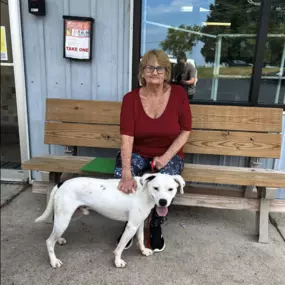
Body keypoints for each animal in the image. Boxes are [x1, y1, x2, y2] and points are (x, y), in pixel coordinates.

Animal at [34, 172, 185, 268]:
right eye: (156, 188)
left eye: (170, 189)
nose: (163, 202)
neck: (145, 192)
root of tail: (62, 182)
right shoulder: (131, 226)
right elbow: (120, 247)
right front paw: (117, 261)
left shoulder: (139, 223)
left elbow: (141, 238)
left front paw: (143, 251)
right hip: (65, 218)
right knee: (49, 241)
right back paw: (54, 261)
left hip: (69, 216)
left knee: (54, 230)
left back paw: (59, 239)